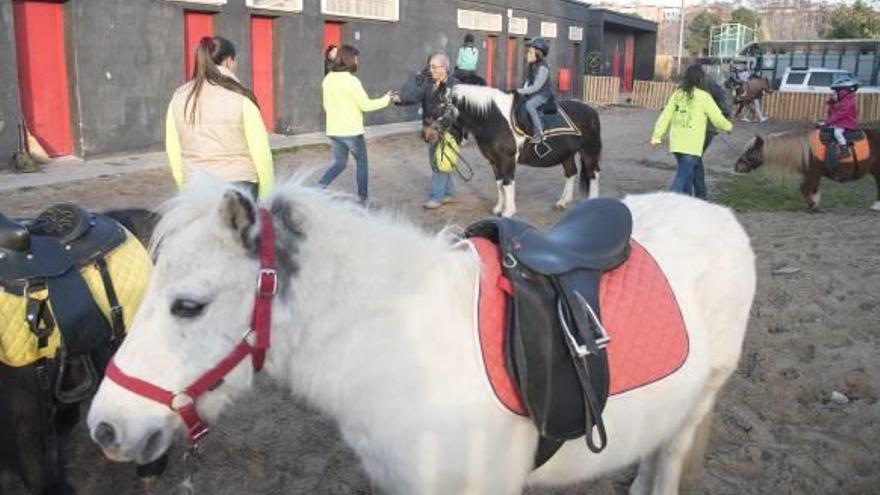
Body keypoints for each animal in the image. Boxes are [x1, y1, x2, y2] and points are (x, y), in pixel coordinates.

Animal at [424, 83, 600, 217]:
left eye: (439, 105)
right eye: (427, 104)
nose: (426, 135)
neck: (494, 119)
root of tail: (592, 111)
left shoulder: (507, 159)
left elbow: (507, 183)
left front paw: (508, 212)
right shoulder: (494, 161)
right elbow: (499, 184)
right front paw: (498, 209)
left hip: (589, 151)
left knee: (593, 174)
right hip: (566, 155)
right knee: (571, 173)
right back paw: (563, 202)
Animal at [736, 128, 880, 209]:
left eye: (752, 151)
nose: (737, 166)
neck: (807, 150)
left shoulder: (813, 173)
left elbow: (804, 188)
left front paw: (813, 204)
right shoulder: (813, 175)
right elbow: (812, 189)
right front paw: (815, 201)